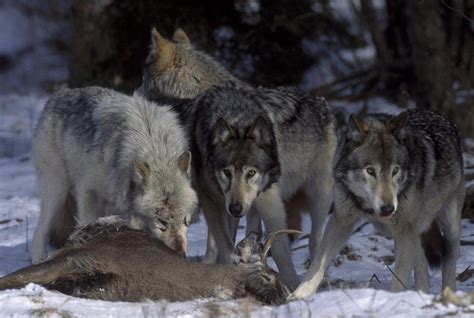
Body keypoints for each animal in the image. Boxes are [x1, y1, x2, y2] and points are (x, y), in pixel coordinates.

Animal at [31, 86, 198, 264]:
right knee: (40, 231)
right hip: (57, 191)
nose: (181, 255)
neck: (155, 148)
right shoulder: (89, 193)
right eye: (162, 222)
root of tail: (58, 95)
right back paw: (38, 260)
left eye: (185, 220)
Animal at [183, 85, 338, 290]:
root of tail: (318, 99)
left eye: (251, 173)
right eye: (226, 173)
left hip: (320, 195)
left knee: (314, 240)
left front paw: (292, 284)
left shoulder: (270, 201)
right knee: (248, 230)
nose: (235, 208)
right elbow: (223, 243)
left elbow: (280, 249)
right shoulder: (210, 199)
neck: (236, 116)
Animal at [290, 109, 464, 298]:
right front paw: (298, 295)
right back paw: (422, 294)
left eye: (395, 170)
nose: (388, 209)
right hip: (411, 233)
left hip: (448, 227)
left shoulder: (404, 231)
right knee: (422, 262)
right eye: (370, 171)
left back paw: (448, 293)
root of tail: (440, 115)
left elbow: (399, 278)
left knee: (450, 257)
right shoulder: (341, 221)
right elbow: (317, 264)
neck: (369, 209)